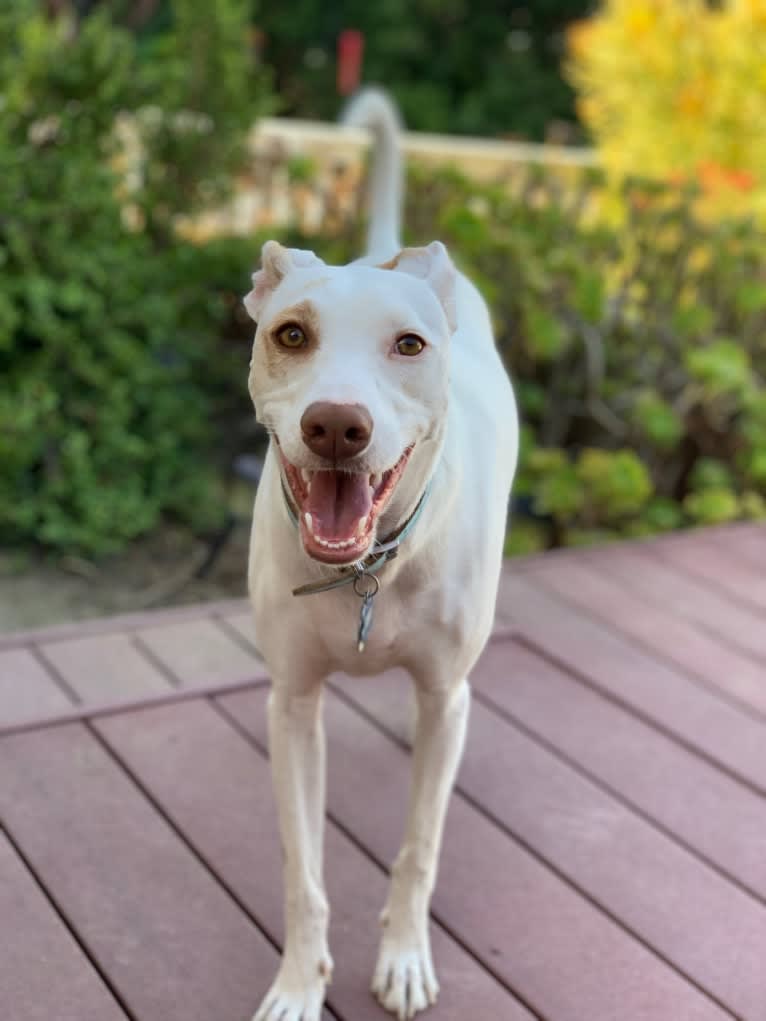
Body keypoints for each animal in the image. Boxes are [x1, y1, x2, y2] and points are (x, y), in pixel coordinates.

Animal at [249, 89, 518, 1021]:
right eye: (292, 334)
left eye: (409, 345)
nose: (337, 425)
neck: (366, 571)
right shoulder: (293, 707)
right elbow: (301, 869)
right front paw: (298, 983)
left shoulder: (444, 696)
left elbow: (420, 846)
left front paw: (402, 956)